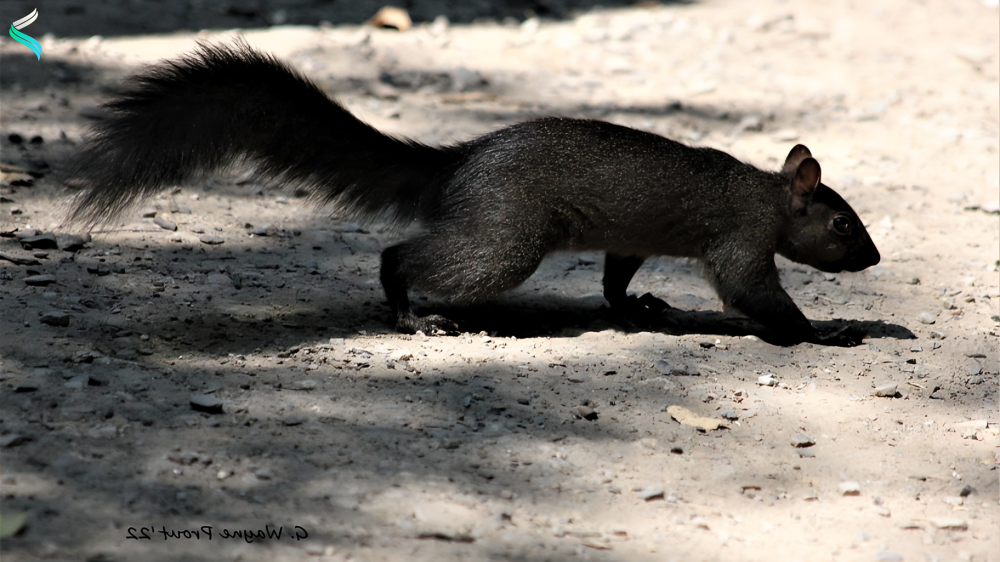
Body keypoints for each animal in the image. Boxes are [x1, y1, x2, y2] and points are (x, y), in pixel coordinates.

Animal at [62, 40, 880, 342]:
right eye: (842, 224)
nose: (873, 260)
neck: (769, 198)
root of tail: (461, 161)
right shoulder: (740, 240)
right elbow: (754, 296)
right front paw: (827, 331)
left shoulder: (628, 240)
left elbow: (616, 277)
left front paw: (634, 305)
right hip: (506, 240)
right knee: (404, 256)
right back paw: (409, 312)